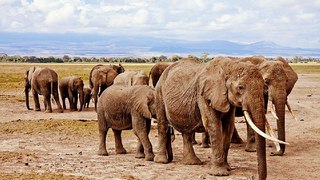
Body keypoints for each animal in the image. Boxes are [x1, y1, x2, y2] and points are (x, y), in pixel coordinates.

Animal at [154, 57, 286, 179]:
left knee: (186, 131)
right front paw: (220, 173)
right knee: (163, 124)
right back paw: (161, 161)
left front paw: (227, 168)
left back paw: (192, 163)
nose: (273, 153)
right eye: (240, 87)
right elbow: (213, 125)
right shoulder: (203, 95)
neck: (229, 66)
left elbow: (228, 126)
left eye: (264, 85)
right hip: (159, 92)